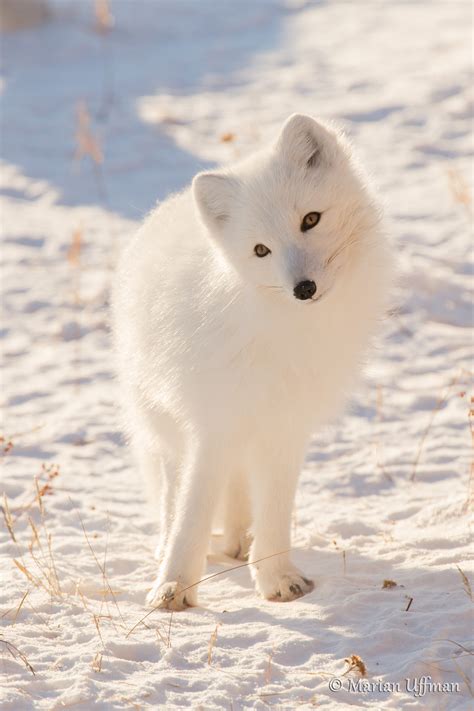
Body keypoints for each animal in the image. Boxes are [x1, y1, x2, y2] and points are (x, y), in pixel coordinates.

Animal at [113, 112, 394, 612]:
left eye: (310, 219)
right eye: (261, 250)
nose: (303, 288)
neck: (285, 331)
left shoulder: (285, 426)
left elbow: (276, 510)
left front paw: (277, 577)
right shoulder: (213, 424)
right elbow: (192, 509)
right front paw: (173, 587)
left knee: (240, 494)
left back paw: (238, 544)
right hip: (167, 423)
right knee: (173, 494)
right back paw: (177, 547)